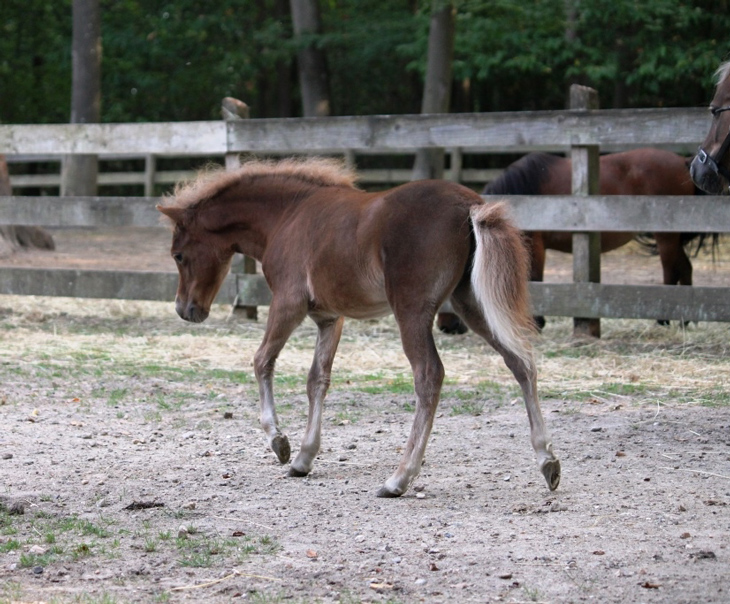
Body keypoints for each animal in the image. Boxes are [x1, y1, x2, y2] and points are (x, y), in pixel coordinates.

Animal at [158, 158, 556, 498]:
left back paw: (399, 479)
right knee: (521, 362)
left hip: (412, 311)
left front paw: (280, 443)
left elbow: (261, 361)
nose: (184, 309)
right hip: (472, 304)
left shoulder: (288, 302)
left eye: (179, 254)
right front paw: (303, 458)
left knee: (429, 375)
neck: (286, 216)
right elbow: (317, 380)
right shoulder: (329, 317)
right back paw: (548, 462)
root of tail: (469, 205)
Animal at [436, 147, 708, 336]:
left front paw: (536, 322)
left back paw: (664, 320)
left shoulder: (534, 245)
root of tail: (682, 162)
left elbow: (534, 279)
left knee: (671, 270)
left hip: (666, 237)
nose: (446, 326)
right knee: (685, 268)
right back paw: (685, 320)